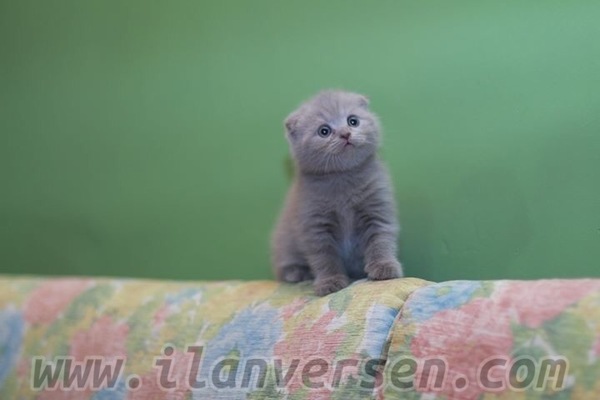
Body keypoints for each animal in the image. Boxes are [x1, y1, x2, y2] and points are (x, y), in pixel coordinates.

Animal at [272, 91, 404, 296]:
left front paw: (384, 267)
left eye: (353, 121)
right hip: (284, 240)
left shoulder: (376, 209)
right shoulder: (315, 226)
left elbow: (380, 240)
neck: (343, 178)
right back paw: (297, 273)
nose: (345, 134)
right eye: (324, 131)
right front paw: (330, 281)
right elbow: (325, 257)